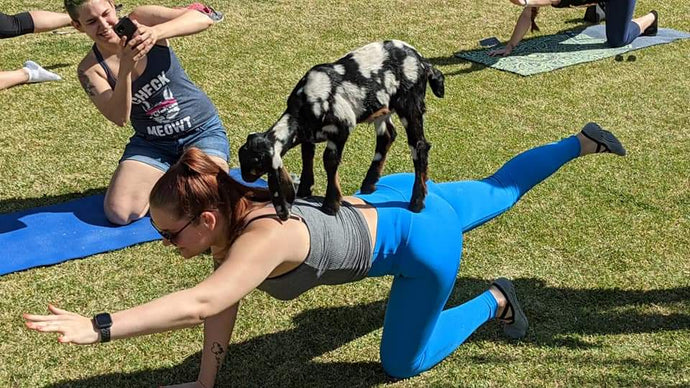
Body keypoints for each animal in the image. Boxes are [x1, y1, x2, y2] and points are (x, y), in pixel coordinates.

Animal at [239, 40, 444, 220]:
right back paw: (369, 183)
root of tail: (423, 62)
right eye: (243, 156)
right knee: (387, 135)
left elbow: (329, 161)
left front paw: (331, 204)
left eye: (257, 163)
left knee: (419, 146)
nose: (244, 177)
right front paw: (305, 190)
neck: (304, 107)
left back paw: (416, 202)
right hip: (383, 108)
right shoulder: (309, 135)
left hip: (410, 104)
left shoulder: (341, 128)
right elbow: (307, 156)